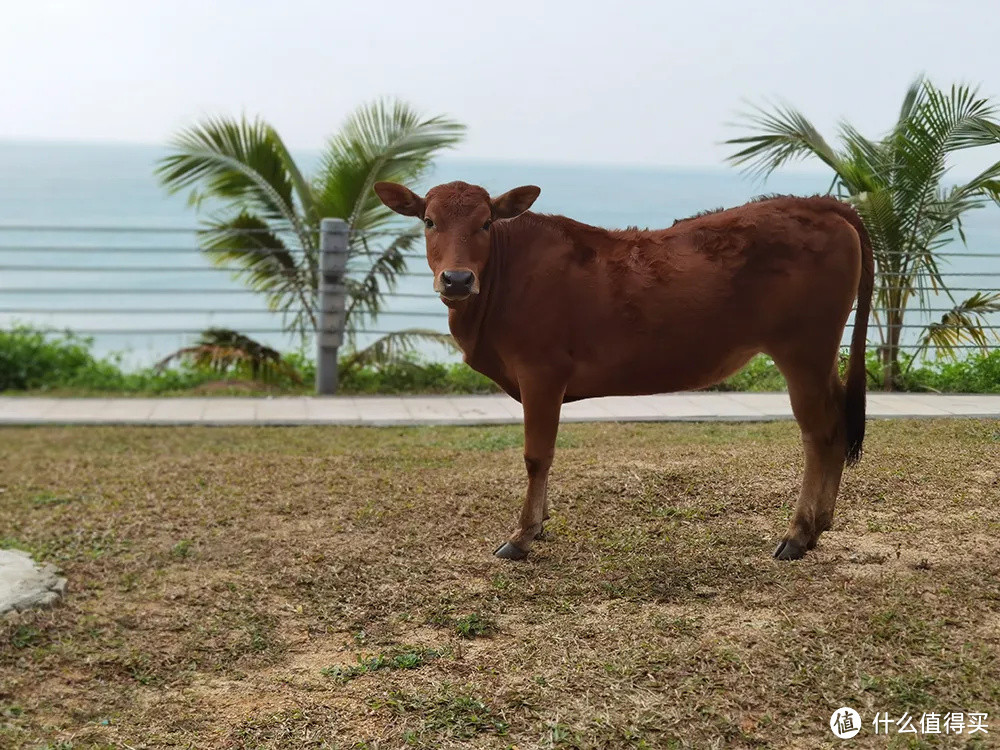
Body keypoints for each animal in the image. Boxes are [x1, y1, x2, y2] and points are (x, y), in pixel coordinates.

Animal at [372, 179, 872, 560]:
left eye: (486, 222)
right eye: (429, 221)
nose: (457, 279)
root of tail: (816, 202)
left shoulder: (541, 373)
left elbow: (537, 456)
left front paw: (523, 535)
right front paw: (541, 522)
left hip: (803, 350)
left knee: (820, 432)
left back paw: (798, 533)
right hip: (820, 356)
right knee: (837, 423)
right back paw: (820, 523)